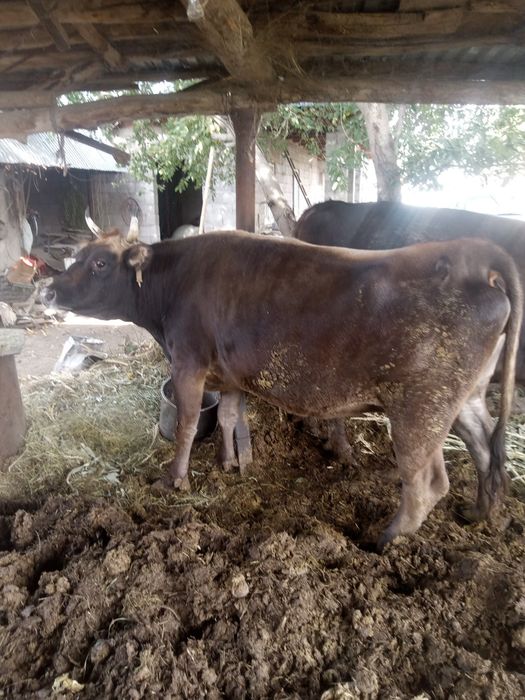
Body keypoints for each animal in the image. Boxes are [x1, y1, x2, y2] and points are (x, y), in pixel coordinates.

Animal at [41, 227, 521, 550]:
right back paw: (479, 513)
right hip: (465, 398)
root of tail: (473, 254)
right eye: (77, 256)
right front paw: (229, 463)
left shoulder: (188, 363)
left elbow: (186, 425)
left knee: (427, 481)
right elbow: (228, 416)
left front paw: (174, 480)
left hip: (420, 409)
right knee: (485, 451)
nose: (47, 290)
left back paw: (385, 539)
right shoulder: (227, 374)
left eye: (100, 263)